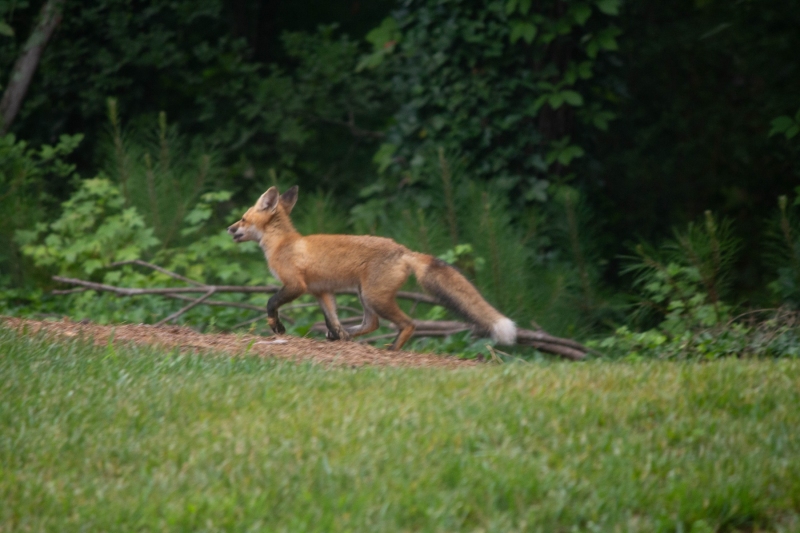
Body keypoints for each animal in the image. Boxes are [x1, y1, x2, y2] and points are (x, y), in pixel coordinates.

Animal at [227, 186, 516, 350]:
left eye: (243, 218)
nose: (229, 228)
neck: (283, 243)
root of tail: (404, 250)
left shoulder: (295, 285)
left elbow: (270, 303)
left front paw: (277, 328)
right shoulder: (322, 292)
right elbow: (332, 318)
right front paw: (339, 335)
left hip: (374, 297)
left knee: (408, 323)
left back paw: (392, 349)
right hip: (364, 295)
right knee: (372, 323)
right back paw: (344, 337)